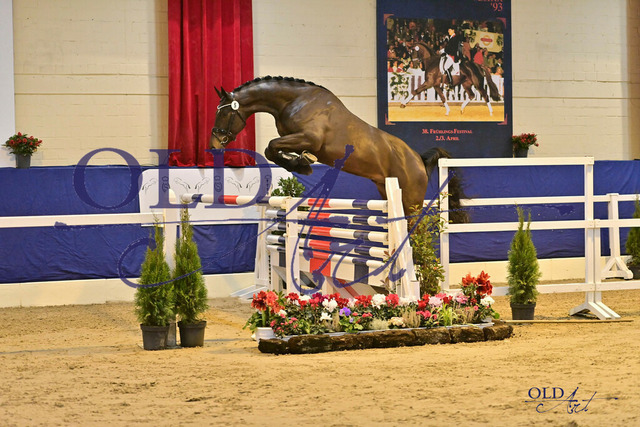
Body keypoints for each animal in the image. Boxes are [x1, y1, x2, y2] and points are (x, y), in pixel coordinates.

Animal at [211, 76, 468, 222]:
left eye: (224, 112)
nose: (214, 142)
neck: (295, 101)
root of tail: (418, 160)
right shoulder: (294, 138)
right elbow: (270, 150)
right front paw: (301, 162)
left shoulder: (310, 138)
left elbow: (272, 146)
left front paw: (302, 164)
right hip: (386, 190)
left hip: (410, 200)